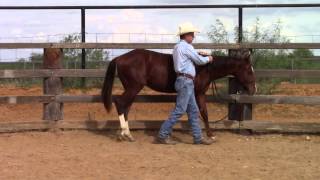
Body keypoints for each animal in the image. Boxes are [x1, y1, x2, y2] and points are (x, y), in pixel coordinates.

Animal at [101, 48, 256, 141]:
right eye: (249, 70)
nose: (253, 89)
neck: (204, 68)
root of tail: (120, 58)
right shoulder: (198, 93)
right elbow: (200, 112)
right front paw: (209, 135)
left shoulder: (196, 94)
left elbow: (197, 112)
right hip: (133, 87)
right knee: (120, 103)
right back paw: (125, 133)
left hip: (131, 88)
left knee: (126, 107)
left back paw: (127, 134)